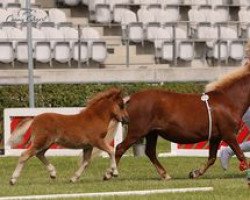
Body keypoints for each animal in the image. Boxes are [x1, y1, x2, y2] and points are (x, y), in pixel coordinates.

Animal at [116, 61, 250, 180]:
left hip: (152, 133)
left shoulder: (215, 137)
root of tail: (130, 98)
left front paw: (194, 173)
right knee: (119, 148)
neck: (228, 100)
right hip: (137, 132)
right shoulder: (229, 134)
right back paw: (112, 173)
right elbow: (241, 155)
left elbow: (212, 158)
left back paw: (165, 175)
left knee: (150, 152)